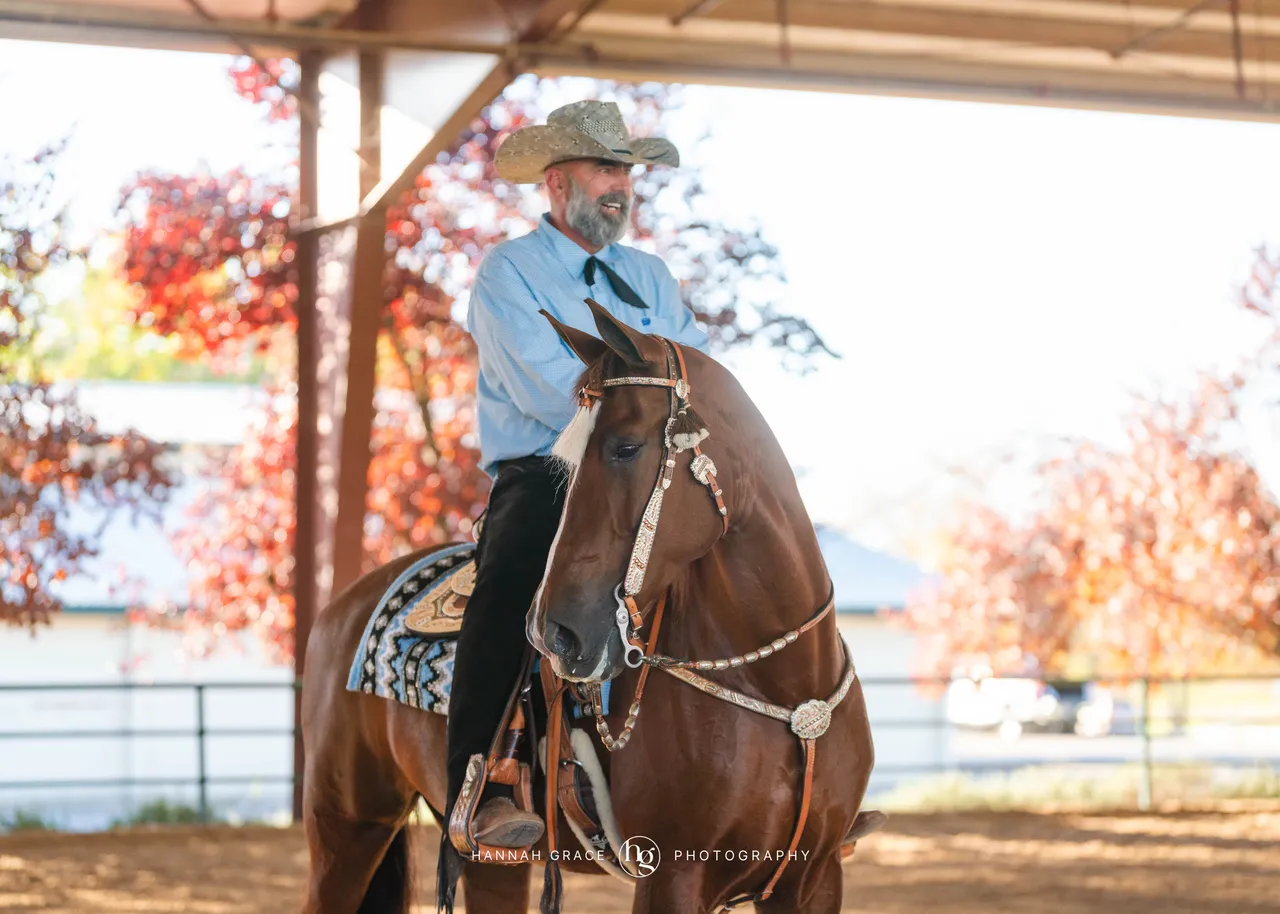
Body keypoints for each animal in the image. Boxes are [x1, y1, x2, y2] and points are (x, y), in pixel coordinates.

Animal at [300, 299, 878, 913]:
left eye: (625, 447)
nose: (552, 632)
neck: (783, 690)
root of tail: (345, 604)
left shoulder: (815, 877)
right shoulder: (672, 878)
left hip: (490, 862)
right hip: (346, 825)